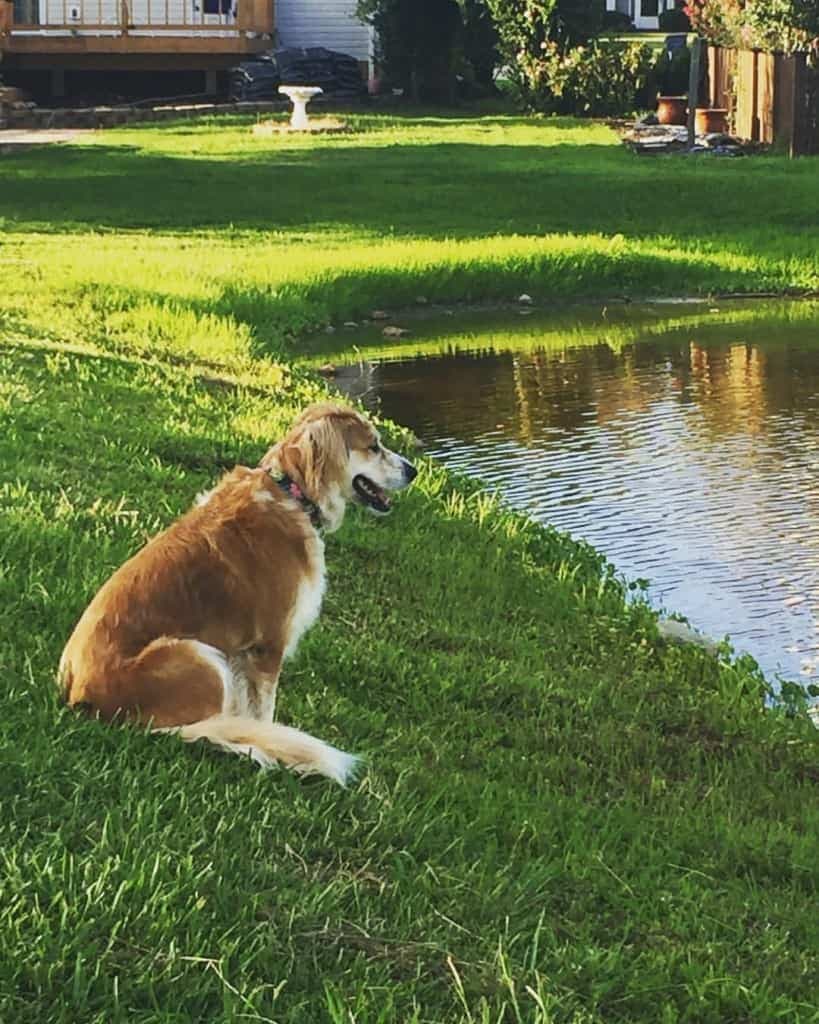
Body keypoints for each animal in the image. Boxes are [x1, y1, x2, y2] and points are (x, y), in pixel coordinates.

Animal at [59, 399, 415, 782]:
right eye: (374, 446)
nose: (413, 471)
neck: (292, 494)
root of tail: (80, 696)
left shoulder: (242, 655)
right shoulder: (268, 647)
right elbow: (263, 712)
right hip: (197, 655)